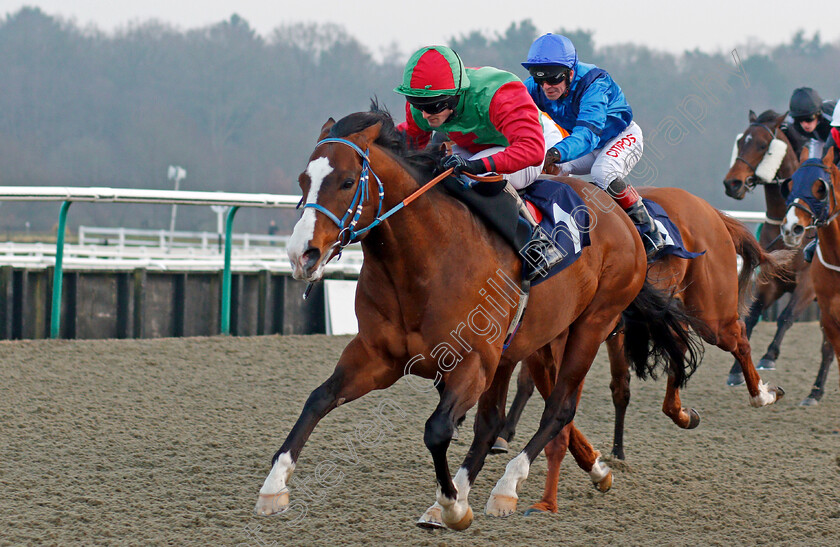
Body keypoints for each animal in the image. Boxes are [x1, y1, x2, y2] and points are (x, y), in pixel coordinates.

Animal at [251, 104, 704, 532]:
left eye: (347, 182)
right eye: (303, 181)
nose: (301, 254)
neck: (425, 261)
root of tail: (622, 216)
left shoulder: (472, 360)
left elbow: (437, 429)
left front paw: (452, 505)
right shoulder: (377, 357)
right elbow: (319, 398)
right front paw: (273, 487)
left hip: (590, 326)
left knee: (558, 408)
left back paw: (506, 487)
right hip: (529, 343)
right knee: (497, 421)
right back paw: (586, 471)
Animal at [720, 109, 832, 404]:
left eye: (762, 146)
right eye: (741, 142)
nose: (732, 183)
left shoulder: (807, 284)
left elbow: (786, 316)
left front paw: (769, 356)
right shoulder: (772, 281)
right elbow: (752, 317)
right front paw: (736, 371)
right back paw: (816, 391)